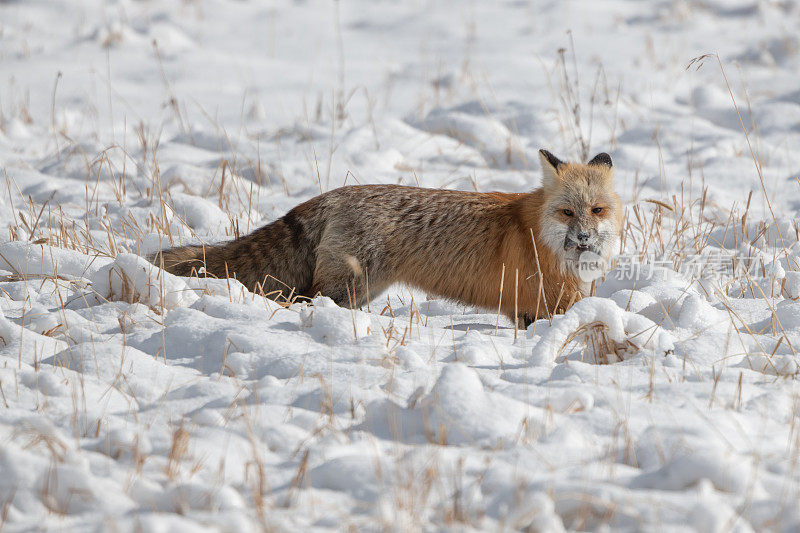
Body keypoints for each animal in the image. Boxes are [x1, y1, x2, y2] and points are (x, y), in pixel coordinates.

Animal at [152, 148, 624, 326]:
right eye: (567, 212)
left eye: (597, 210)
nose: (584, 238)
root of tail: (331, 196)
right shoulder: (542, 307)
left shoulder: (530, 310)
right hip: (345, 288)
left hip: (361, 290)